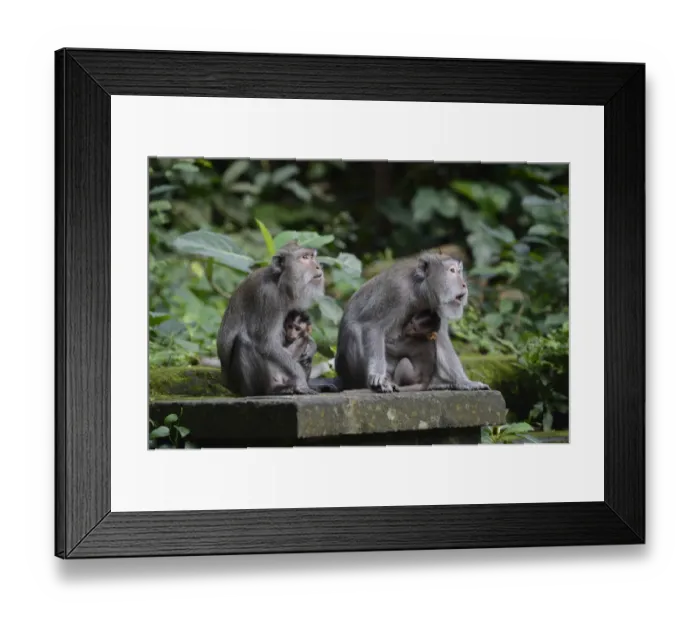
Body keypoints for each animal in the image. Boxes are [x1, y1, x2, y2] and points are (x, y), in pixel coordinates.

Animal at [216, 241, 340, 397]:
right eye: (305, 257)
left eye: (312, 256)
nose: (318, 266)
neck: (279, 282)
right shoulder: (269, 297)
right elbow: (266, 343)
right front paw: (301, 380)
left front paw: (312, 347)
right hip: (247, 385)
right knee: (245, 341)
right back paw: (274, 390)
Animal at [334, 251, 490, 393]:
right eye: (452, 271)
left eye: (459, 271)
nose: (464, 285)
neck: (419, 290)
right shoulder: (396, 291)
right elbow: (373, 326)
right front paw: (377, 376)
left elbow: (441, 338)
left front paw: (464, 382)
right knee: (354, 330)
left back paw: (437, 384)